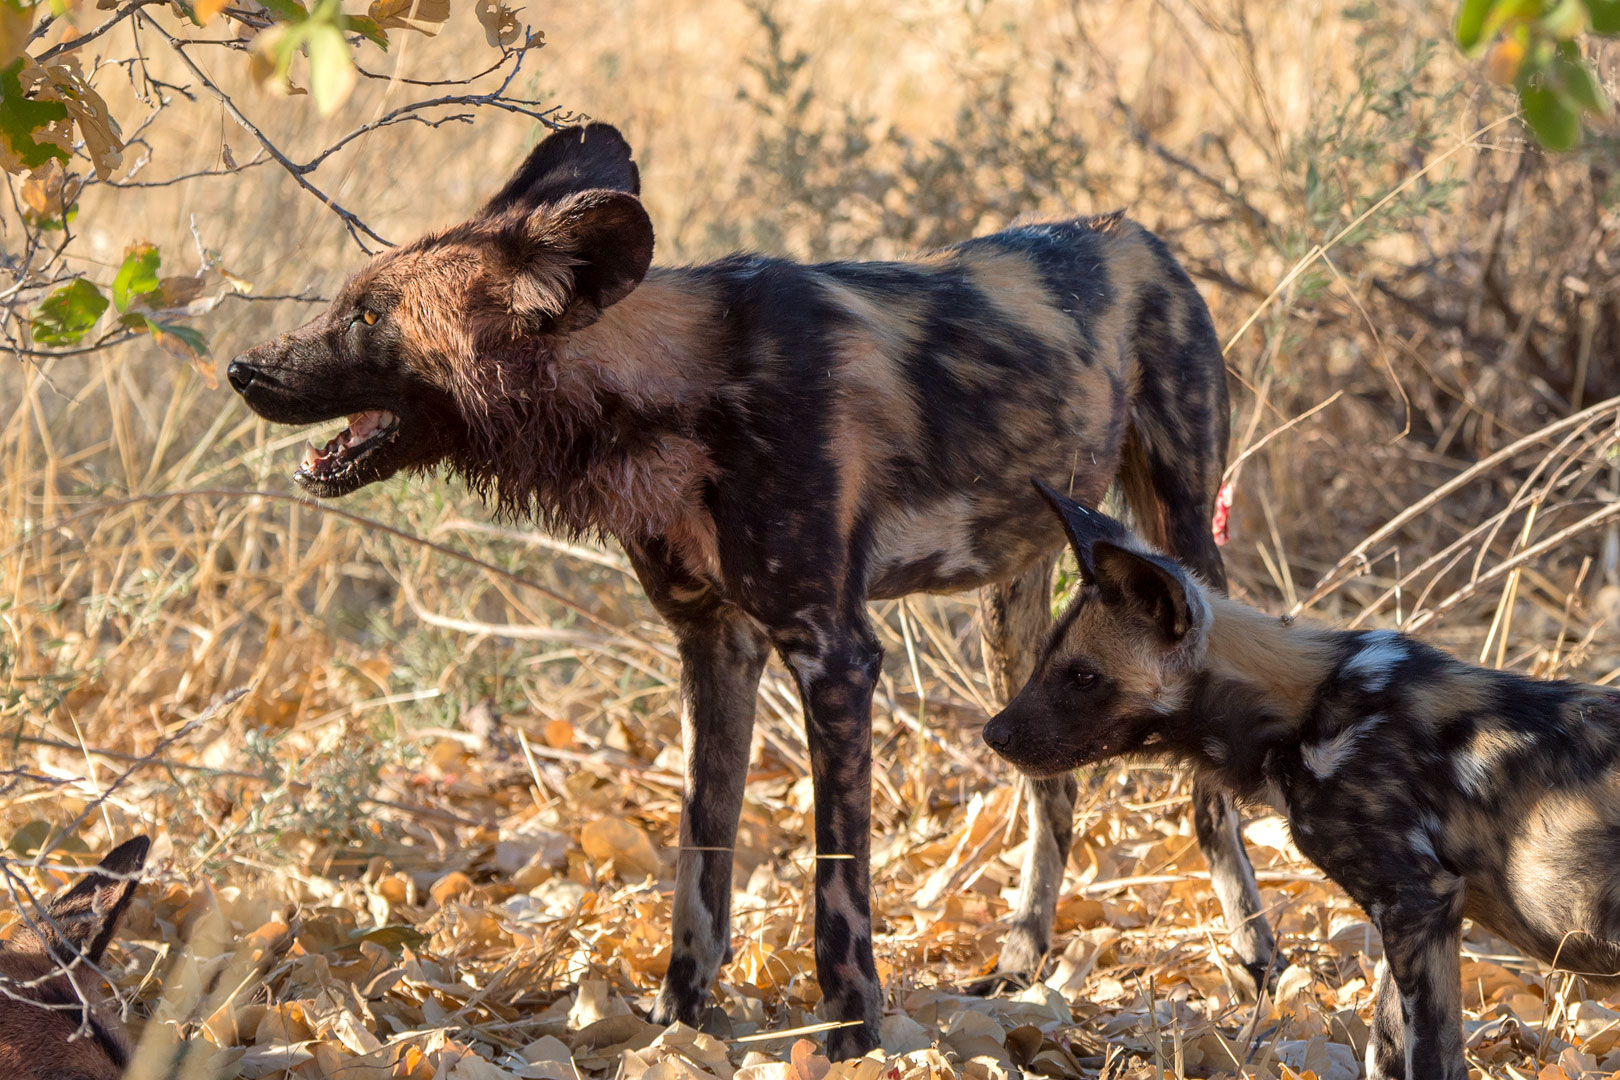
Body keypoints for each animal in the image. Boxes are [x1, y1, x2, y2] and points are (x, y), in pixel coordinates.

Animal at [228, 120, 1270, 1055]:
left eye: (370, 316)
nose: (241, 367)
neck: (678, 396)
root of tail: (1137, 234)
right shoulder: (714, 649)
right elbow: (701, 864)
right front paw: (676, 1025)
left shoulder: (834, 657)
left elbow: (836, 887)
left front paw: (852, 1035)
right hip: (1013, 618)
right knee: (1053, 791)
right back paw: (1021, 960)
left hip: (1175, 548)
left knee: (1203, 783)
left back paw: (1259, 957)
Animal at [978, 488, 1620, 1080]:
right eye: (1043, 663)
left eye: (1083, 677)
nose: (993, 734)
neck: (1306, 712)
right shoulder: (1410, 919)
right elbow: (1385, 1047)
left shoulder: (1419, 904)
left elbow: (1428, 1054)